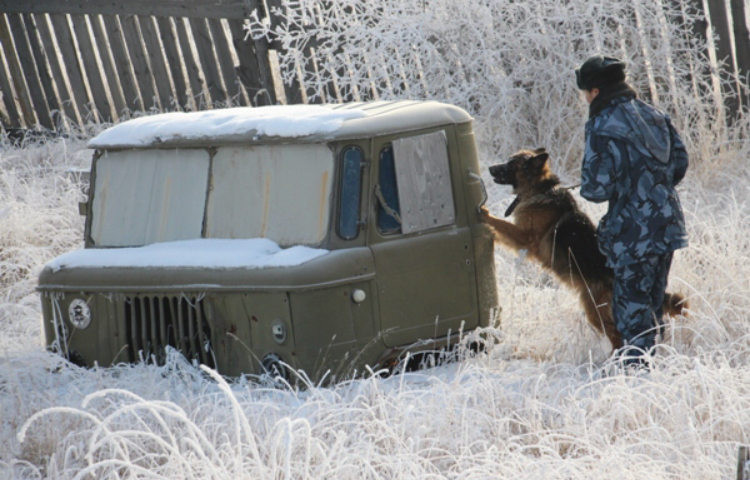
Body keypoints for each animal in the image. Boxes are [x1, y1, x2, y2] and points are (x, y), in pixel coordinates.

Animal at [482, 148, 688, 350]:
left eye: (510, 164)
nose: (490, 168)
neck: (540, 189)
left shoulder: (526, 238)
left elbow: (502, 225)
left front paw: (485, 214)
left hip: (596, 312)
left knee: (619, 336)